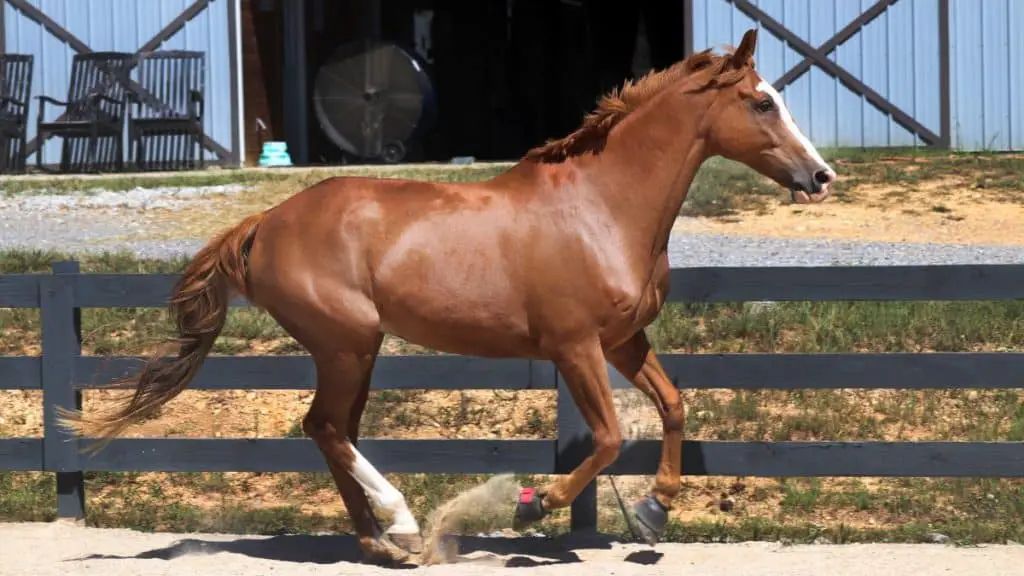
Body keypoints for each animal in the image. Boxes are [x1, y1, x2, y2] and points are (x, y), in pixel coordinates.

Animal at [58, 26, 831, 561]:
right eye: (762, 101)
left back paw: (380, 542)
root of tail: (265, 222)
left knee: (329, 430)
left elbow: (673, 406)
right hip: (347, 343)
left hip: (356, 351)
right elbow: (610, 436)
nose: (820, 176)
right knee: (327, 427)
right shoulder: (575, 346)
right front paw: (536, 504)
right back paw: (400, 524)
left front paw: (654, 509)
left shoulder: (622, 341)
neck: (602, 207)